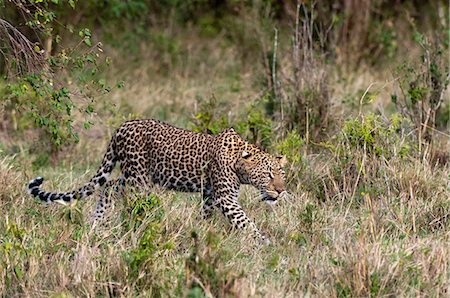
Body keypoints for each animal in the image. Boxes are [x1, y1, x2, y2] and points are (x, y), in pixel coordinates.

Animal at [28, 119, 286, 244]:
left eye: (282, 175)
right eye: (268, 175)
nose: (281, 191)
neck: (239, 162)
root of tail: (121, 127)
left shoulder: (211, 195)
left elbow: (206, 215)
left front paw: (201, 232)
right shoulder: (225, 197)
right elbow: (245, 221)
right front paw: (262, 241)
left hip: (134, 176)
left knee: (109, 186)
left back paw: (95, 222)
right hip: (139, 179)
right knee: (121, 194)